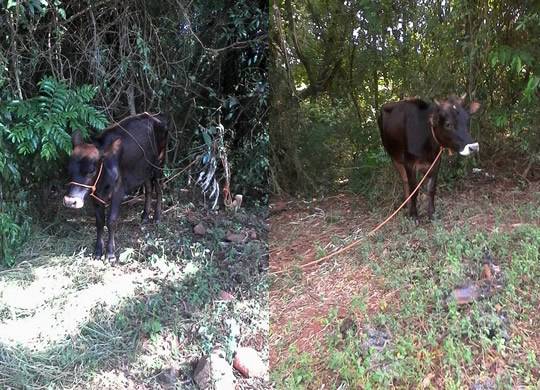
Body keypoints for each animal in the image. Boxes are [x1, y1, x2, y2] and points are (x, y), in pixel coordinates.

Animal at [62, 111, 167, 260]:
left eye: (91, 170)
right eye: (69, 169)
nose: (70, 201)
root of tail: (156, 117)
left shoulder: (118, 192)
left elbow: (111, 221)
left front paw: (110, 254)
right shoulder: (95, 196)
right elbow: (99, 222)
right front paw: (98, 251)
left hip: (159, 164)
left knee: (158, 189)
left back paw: (157, 217)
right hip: (144, 169)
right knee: (148, 188)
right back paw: (145, 216)